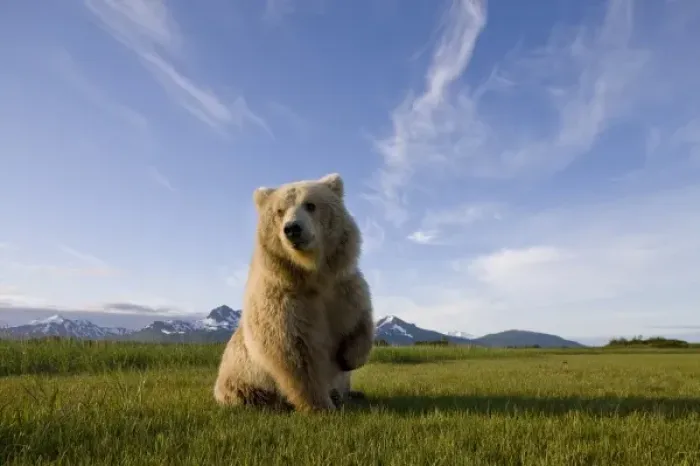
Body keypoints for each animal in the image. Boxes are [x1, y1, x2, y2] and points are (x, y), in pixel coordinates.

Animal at [213, 173, 375, 412]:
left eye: (310, 204)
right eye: (279, 211)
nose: (292, 229)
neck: (312, 274)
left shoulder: (342, 288)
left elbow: (359, 321)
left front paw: (349, 358)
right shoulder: (284, 302)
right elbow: (296, 356)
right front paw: (320, 406)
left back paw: (350, 394)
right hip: (238, 379)